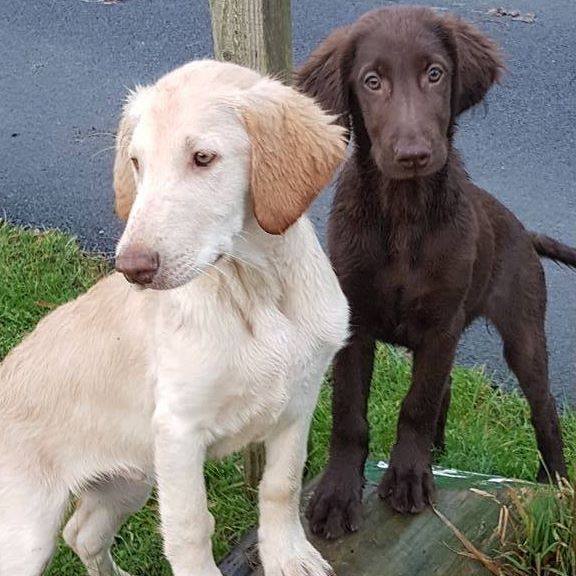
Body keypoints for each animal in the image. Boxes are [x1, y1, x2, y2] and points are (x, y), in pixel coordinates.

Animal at [0, 60, 346, 576]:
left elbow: (280, 485)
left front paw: (287, 554)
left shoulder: (298, 403)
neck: (256, 292)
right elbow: (190, 527)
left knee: (83, 532)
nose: (131, 268)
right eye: (136, 163)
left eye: (203, 158)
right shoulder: (179, 431)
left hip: (127, 478)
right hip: (26, 530)